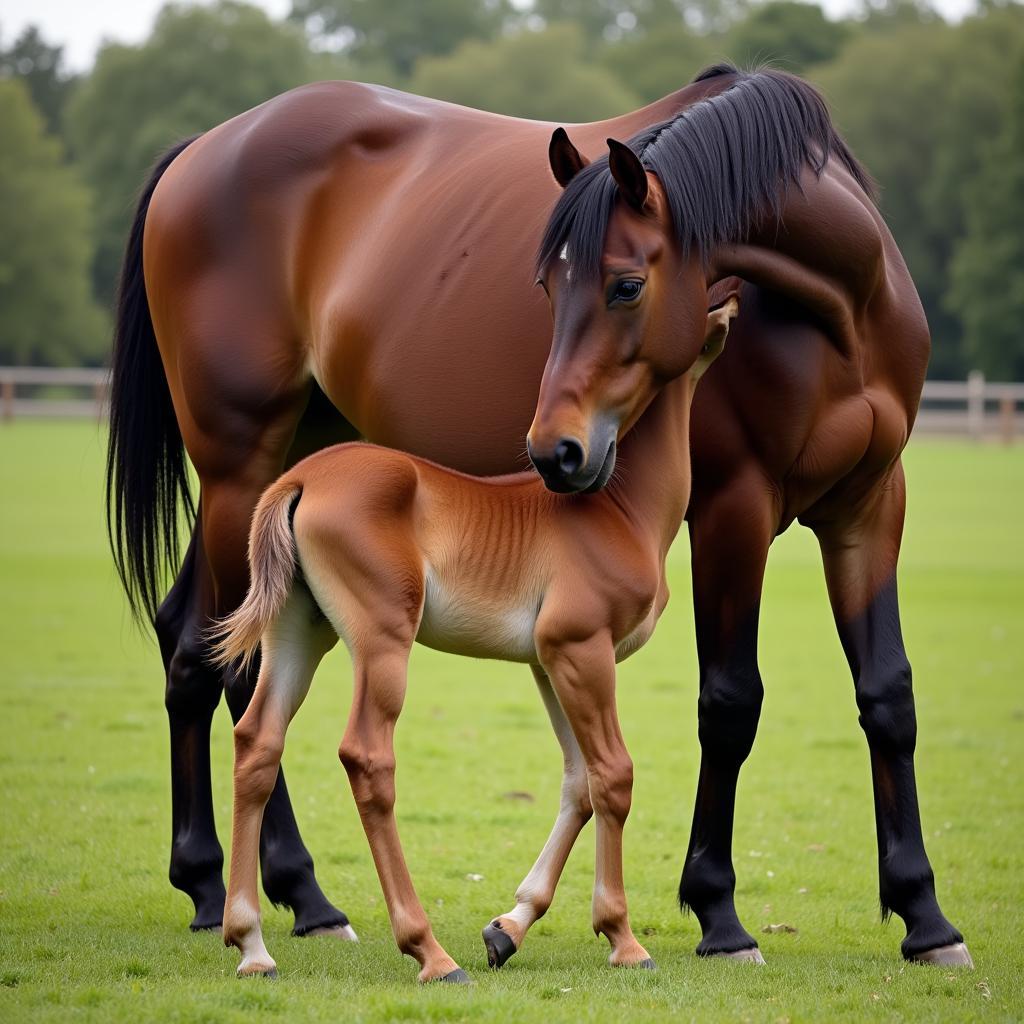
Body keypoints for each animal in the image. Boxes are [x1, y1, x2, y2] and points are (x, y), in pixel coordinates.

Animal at [209, 299, 737, 983]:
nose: (729, 310)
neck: (619, 510)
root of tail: (299, 479)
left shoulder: (548, 664)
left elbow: (578, 782)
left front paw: (509, 928)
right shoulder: (583, 649)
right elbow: (613, 776)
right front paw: (622, 938)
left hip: (300, 632)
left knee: (257, 742)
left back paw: (251, 945)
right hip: (382, 640)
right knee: (367, 757)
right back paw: (429, 952)